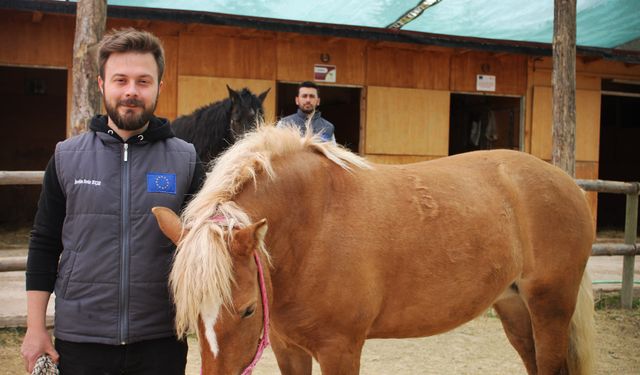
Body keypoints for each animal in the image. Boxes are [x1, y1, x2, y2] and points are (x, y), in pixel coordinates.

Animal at [154, 126, 596, 375]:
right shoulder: (287, 348)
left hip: (550, 307)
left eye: (247, 310)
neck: (313, 225)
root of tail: (567, 183)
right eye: (190, 311)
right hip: (515, 308)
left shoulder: (340, 350)